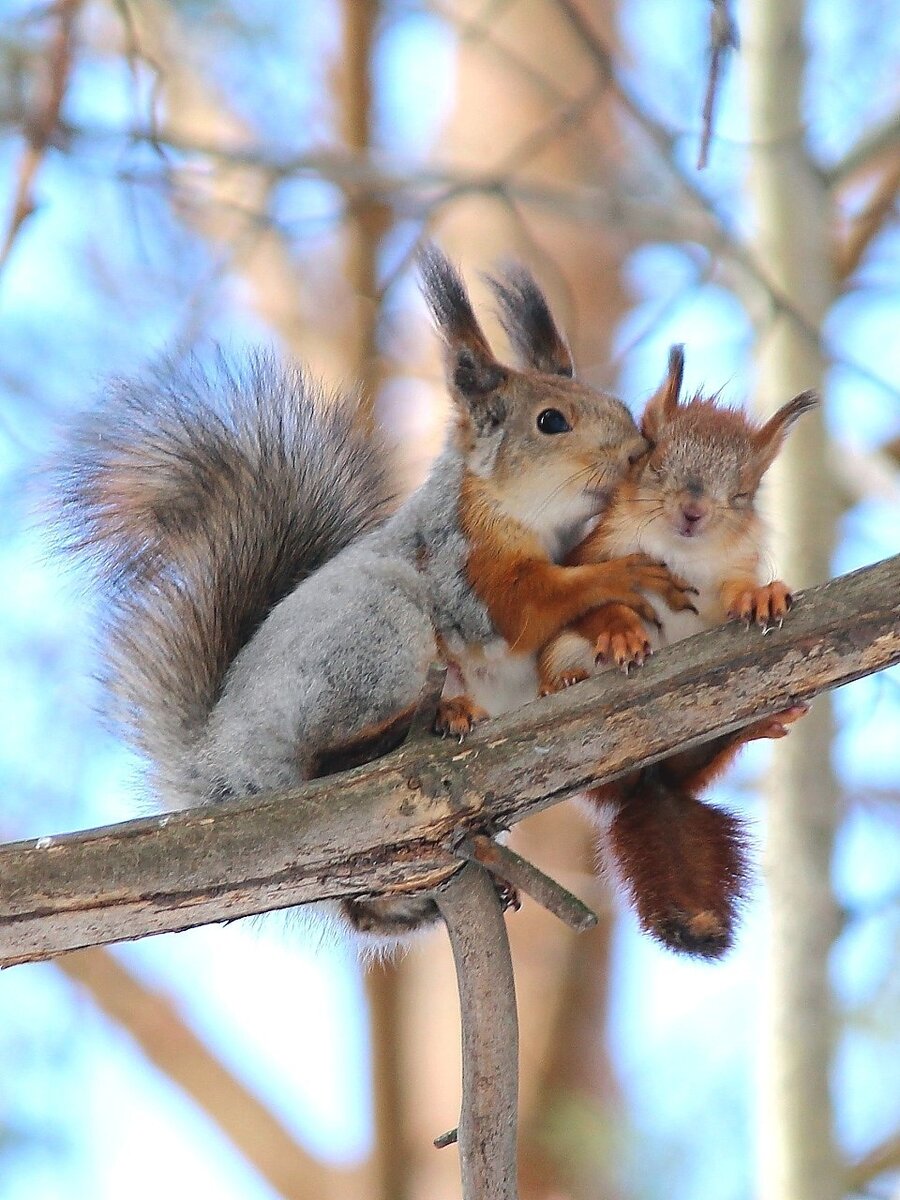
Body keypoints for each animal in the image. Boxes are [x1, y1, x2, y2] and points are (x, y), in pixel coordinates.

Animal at [54, 246, 691, 945]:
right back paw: (426, 722)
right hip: (374, 637)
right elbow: (529, 605)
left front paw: (615, 631)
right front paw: (624, 575)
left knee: (363, 911)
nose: (637, 451)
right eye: (552, 421)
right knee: (325, 761)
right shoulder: (467, 570)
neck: (532, 520)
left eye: (614, 402)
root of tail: (217, 764)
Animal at [540, 348, 820, 955]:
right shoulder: (587, 559)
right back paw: (564, 683)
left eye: (743, 492)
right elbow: (590, 605)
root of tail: (652, 779)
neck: (680, 553)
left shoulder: (730, 572)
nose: (693, 510)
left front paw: (762, 596)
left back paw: (757, 723)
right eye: (652, 460)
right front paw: (621, 633)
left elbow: (737, 594)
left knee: (697, 766)